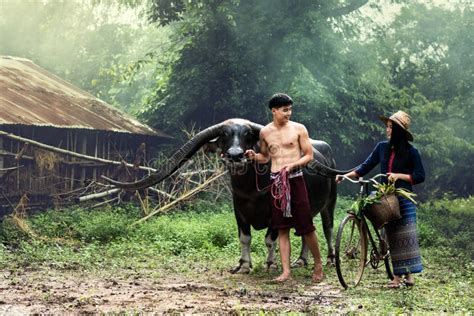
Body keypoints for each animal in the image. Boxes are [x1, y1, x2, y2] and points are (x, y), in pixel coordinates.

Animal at [105, 119, 350, 272]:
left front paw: (270, 264)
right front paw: (244, 265)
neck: (251, 191)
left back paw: (330, 259)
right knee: (308, 231)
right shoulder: (238, 211)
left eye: (248, 134)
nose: (235, 155)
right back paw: (301, 260)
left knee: (327, 229)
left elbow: (269, 240)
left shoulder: (275, 214)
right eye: (224, 135)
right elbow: (245, 238)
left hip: (330, 203)